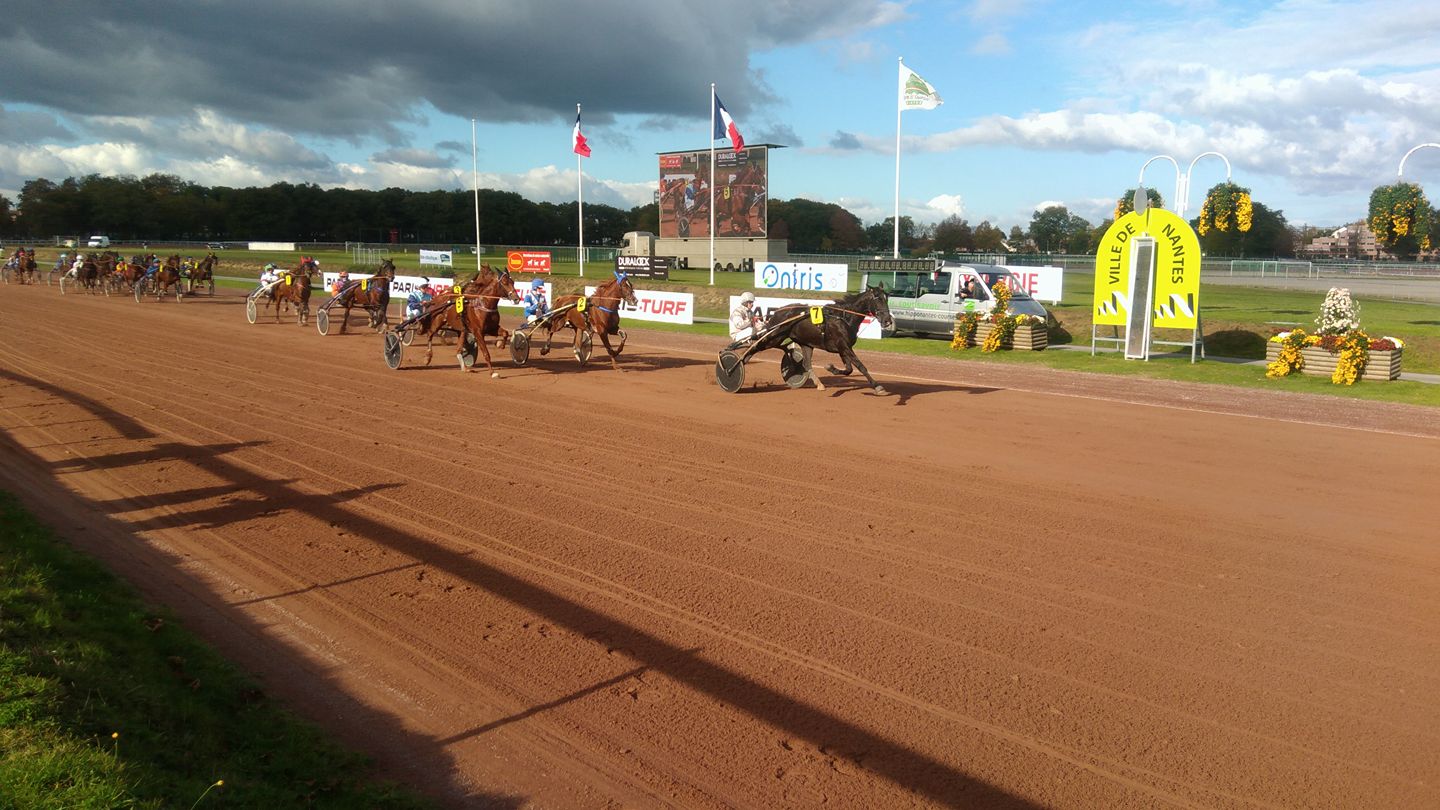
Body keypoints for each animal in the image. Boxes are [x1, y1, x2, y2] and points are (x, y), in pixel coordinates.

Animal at [748, 286, 892, 394]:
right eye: (878, 299)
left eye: (887, 298)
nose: (888, 321)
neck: (843, 317)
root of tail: (778, 311)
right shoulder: (843, 345)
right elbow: (860, 366)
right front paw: (877, 386)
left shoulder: (843, 348)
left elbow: (849, 369)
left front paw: (831, 368)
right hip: (774, 337)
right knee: (755, 347)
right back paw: (743, 362)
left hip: (805, 343)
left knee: (806, 363)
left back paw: (819, 383)